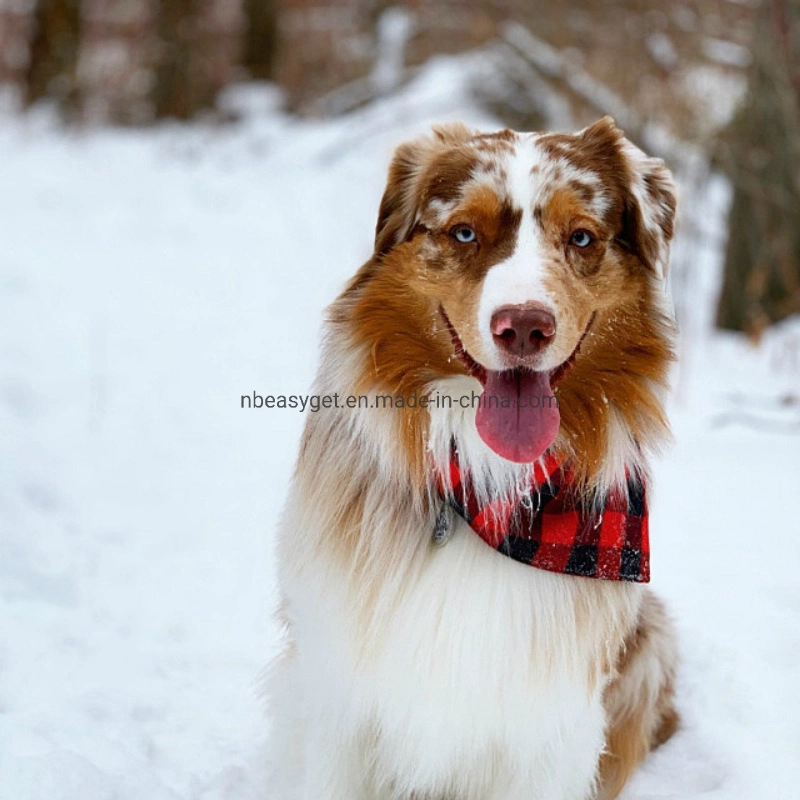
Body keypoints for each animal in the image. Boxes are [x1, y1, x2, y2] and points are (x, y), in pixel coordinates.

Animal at [270, 119, 680, 800]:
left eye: (581, 237)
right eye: (464, 232)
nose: (525, 327)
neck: (486, 489)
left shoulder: (549, 733)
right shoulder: (342, 696)